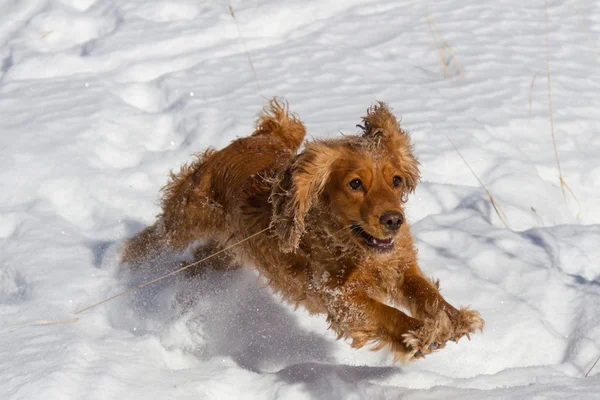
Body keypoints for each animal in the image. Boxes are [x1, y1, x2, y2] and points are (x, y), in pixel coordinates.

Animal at [122, 97, 482, 362]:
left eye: (396, 180)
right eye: (355, 184)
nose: (394, 220)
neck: (355, 247)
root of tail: (255, 138)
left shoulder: (400, 266)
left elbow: (427, 293)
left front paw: (454, 319)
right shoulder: (340, 298)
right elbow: (387, 314)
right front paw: (421, 333)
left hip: (226, 254)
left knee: (194, 264)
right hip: (184, 220)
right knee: (153, 239)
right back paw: (123, 264)